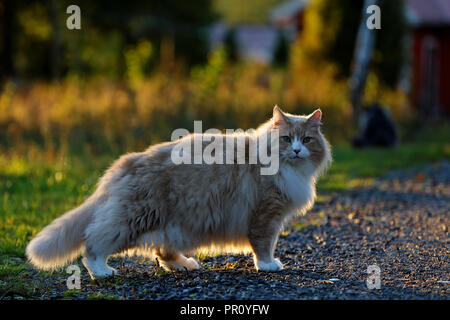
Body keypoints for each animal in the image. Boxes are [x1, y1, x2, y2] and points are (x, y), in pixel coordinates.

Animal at [26, 106, 332, 278]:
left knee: (162, 251)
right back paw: (102, 272)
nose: (296, 150)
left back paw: (185, 265)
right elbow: (264, 245)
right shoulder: (266, 214)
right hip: (135, 217)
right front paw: (268, 265)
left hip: (174, 223)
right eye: (286, 139)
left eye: (306, 139)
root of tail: (129, 161)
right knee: (94, 242)